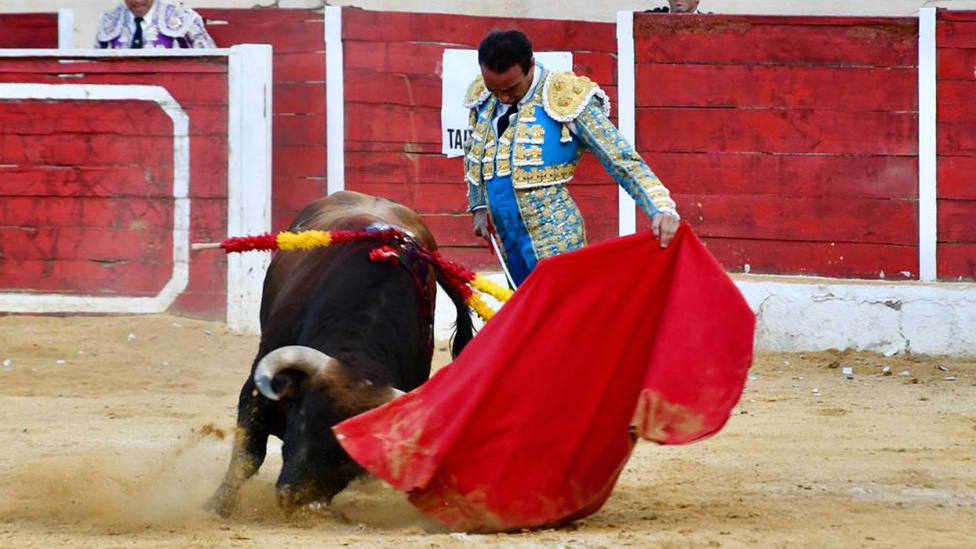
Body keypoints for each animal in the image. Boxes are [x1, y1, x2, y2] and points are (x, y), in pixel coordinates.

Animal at [208, 191, 474, 516]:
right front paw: (217, 506)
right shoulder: (258, 386)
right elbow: (249, 453)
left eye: (351, 457)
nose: (294, 499)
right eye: (303, 422)